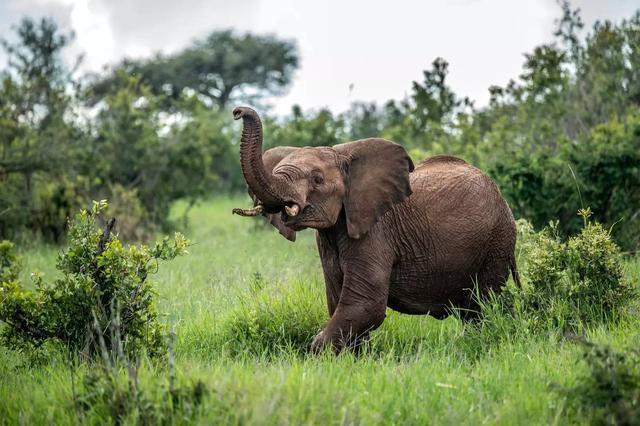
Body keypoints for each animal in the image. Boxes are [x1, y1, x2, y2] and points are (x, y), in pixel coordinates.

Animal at [230, 106, 520, 352]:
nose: (237, 112)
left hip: (497, 240)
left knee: (483, 304)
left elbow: (365, 304)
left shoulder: (376, 231)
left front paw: (317, 352)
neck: (344, 157)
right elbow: (338, 300)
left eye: (317, 179)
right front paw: (357, 357)